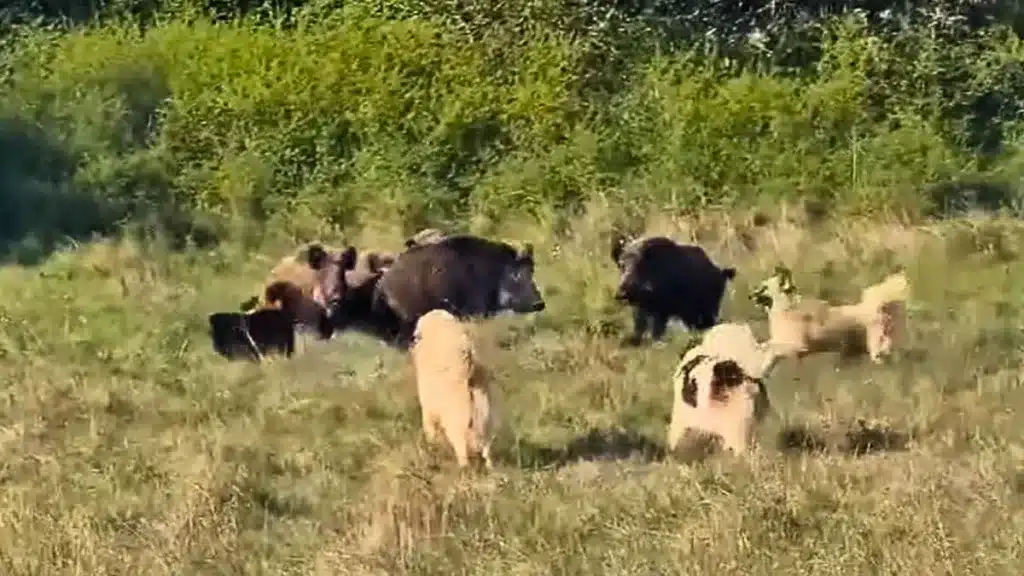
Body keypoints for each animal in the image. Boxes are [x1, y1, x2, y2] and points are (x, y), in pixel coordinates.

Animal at [411, 309, 499, 467]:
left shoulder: (428, 408)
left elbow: (431, 431)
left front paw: (433, 448)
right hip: (484, 416)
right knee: (487, 449)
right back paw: (490, 467)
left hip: (457, 422)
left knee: (462, 452)